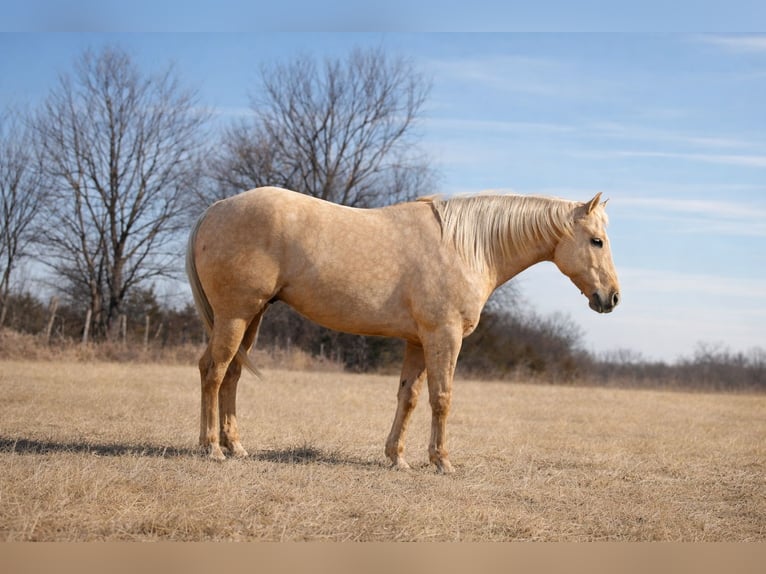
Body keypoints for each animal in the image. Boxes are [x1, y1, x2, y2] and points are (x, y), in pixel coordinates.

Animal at [186, 186, 620, 473]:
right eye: (597, 241)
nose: (612, 297)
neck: (466, 247)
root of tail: (215, 209)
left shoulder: (417, 340)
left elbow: (408, 397)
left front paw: (397, 458)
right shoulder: (444, 336)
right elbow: (441, 398)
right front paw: (442, 462)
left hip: (252, 317)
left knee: (232, 374)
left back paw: (236, 446)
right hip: (235, 315)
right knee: (213, 370)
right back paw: (212, 449)